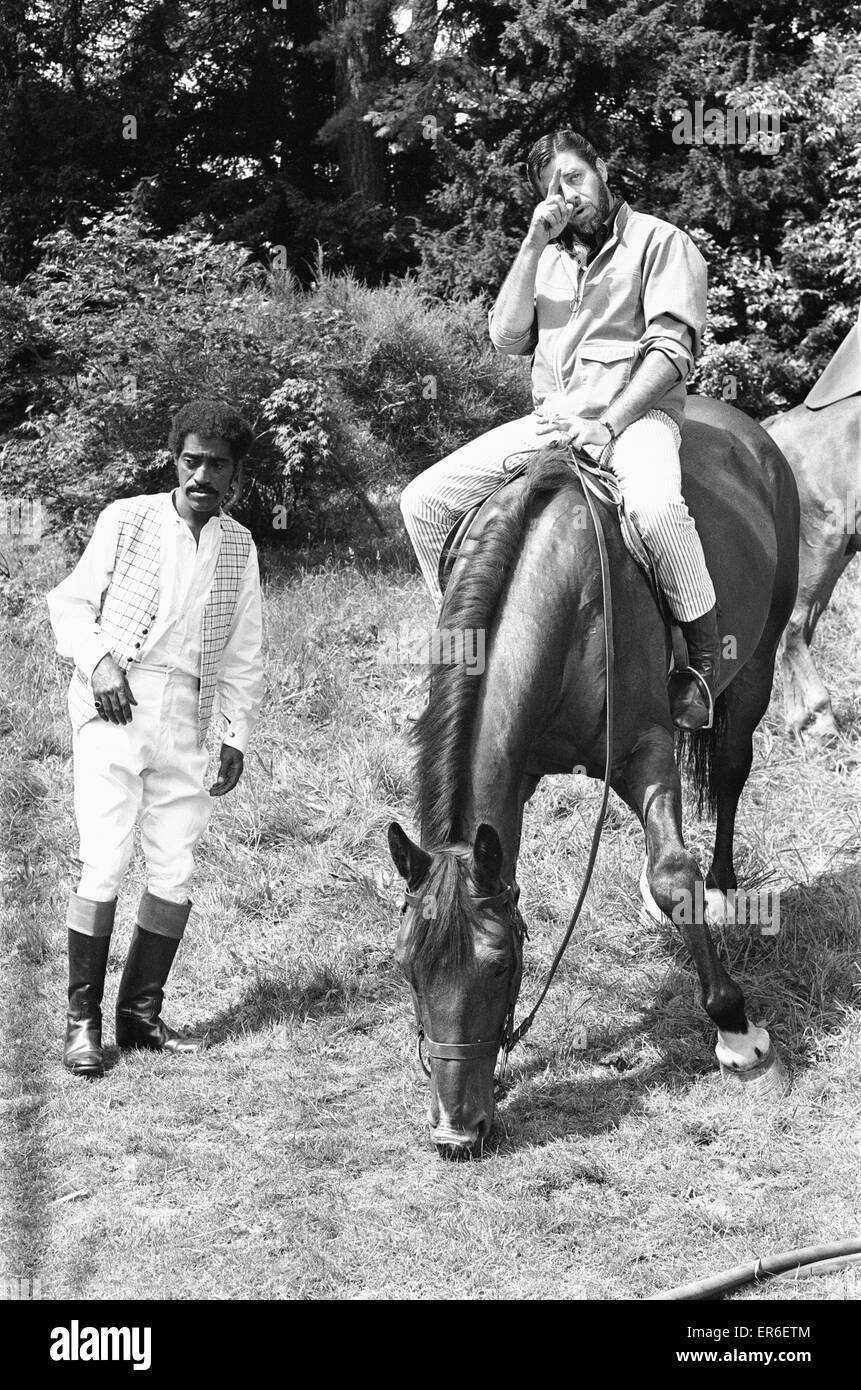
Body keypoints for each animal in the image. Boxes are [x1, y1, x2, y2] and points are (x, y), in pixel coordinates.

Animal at [389, 397, 801, 1156]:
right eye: (407, 967)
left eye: (499, 965)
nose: (456, 1133)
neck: (561, 591)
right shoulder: (519, 777)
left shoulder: (644, 749)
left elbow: (673, 873)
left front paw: (736, 1034)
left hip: (757, 660)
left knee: (730, 771)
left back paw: (722, 888)